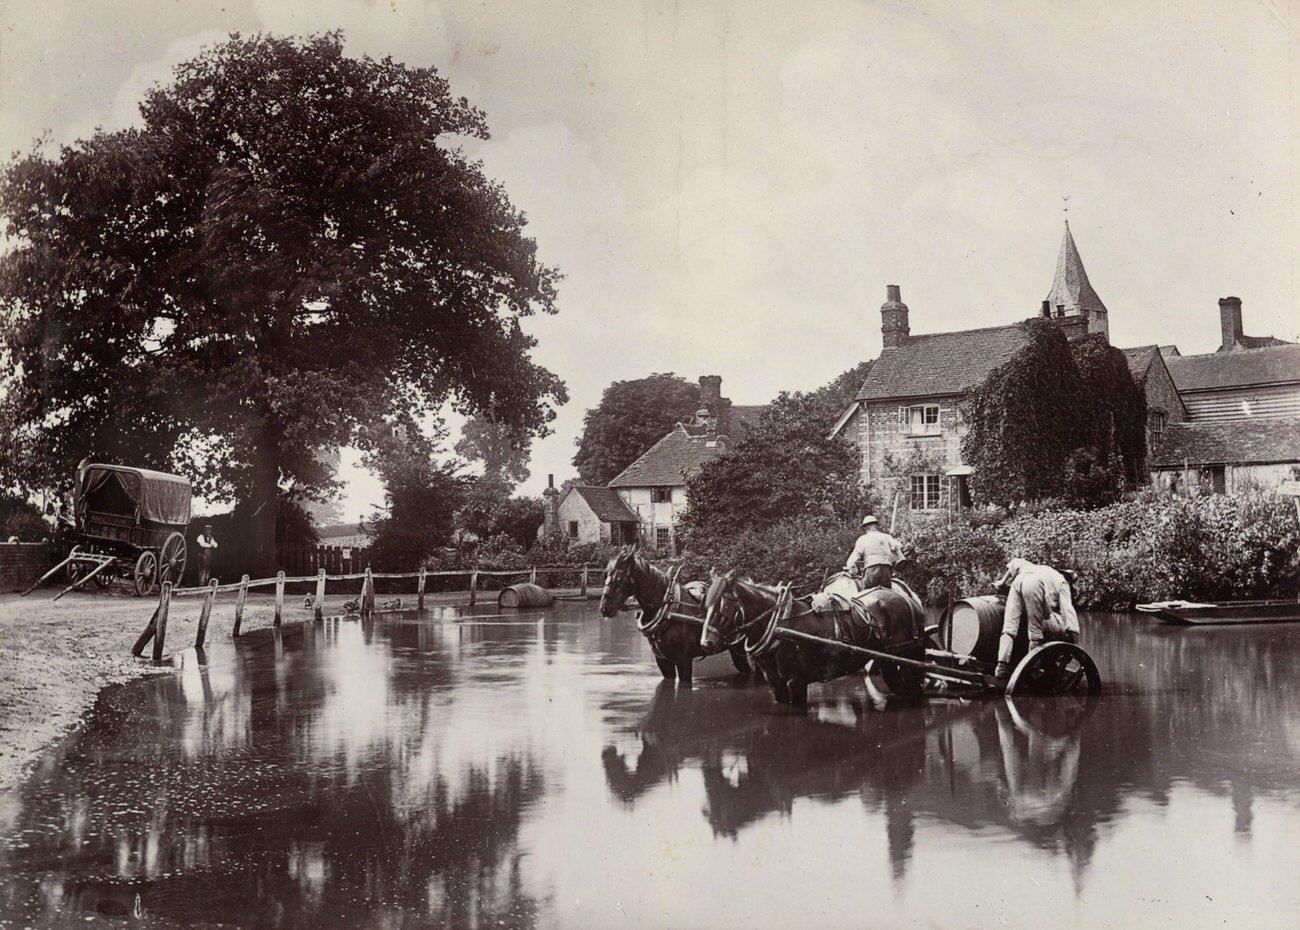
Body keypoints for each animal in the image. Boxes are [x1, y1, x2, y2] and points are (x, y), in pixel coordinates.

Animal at [603, 546, 759, 681]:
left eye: (618, 579)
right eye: (606, 575)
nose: (604, 608)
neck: (667, 609)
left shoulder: (684, 661)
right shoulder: (663, 661)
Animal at [707, 567, 930, 707]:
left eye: (722, 607)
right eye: (705, 604)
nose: (706, 642)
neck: (780, 623)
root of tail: (908, 598)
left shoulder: (796, 681)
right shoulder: (775, 682)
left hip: (908, 654)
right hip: (888, 659)